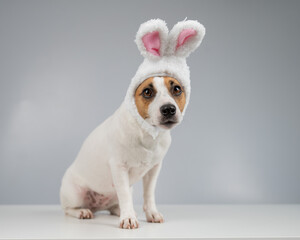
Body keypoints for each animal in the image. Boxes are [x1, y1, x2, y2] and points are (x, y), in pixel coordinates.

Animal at [59, 18, 205, 229]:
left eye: (177, 89)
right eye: (147, 92)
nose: (168, 109)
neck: (147, 134)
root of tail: (96, 206)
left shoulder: (153, 170)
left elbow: (148, 194)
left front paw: (150, 213)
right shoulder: (119, 168)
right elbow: (125, 195)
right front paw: (128, 218)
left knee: (114, 203)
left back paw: (117, 210)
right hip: (74, 192)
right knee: (69, 209)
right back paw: (83, 212)